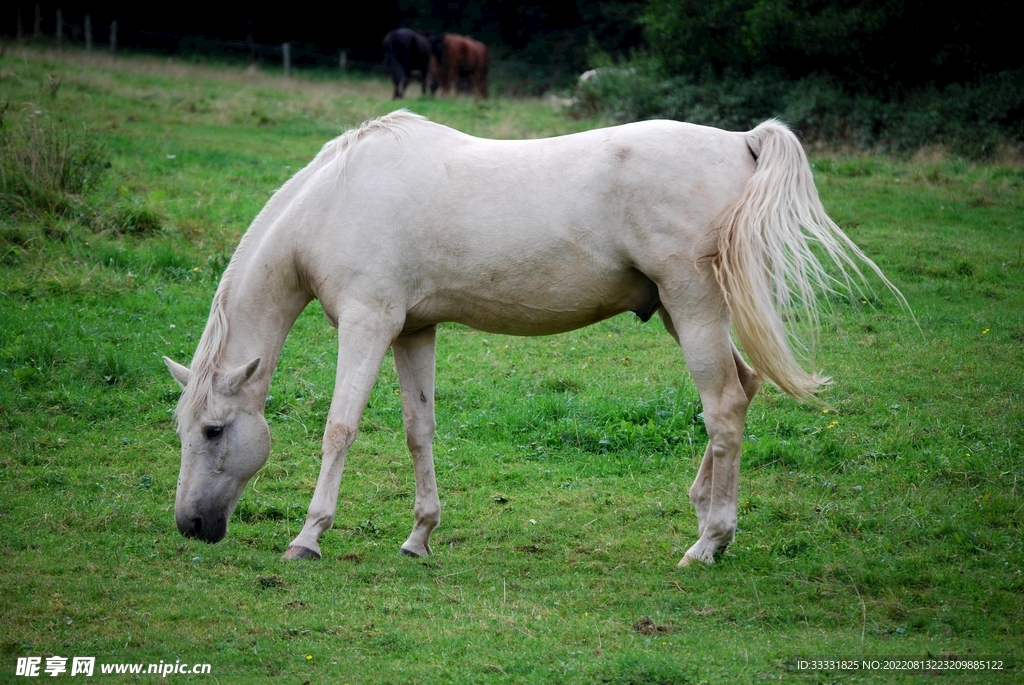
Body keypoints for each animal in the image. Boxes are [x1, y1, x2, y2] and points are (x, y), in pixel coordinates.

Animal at [163, 111, 903, 566]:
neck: (337, 196)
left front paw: (309, 537)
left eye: (213, 430)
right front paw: (419, 535)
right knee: (743, 391)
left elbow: (339, 428)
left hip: (693, 309)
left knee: (722, 407)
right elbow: (418, 430)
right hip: (679, 311)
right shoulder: (413, 329)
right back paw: (707, 525)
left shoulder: (367, 323)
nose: (190, 527)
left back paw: (706, 544)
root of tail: (742, 141)